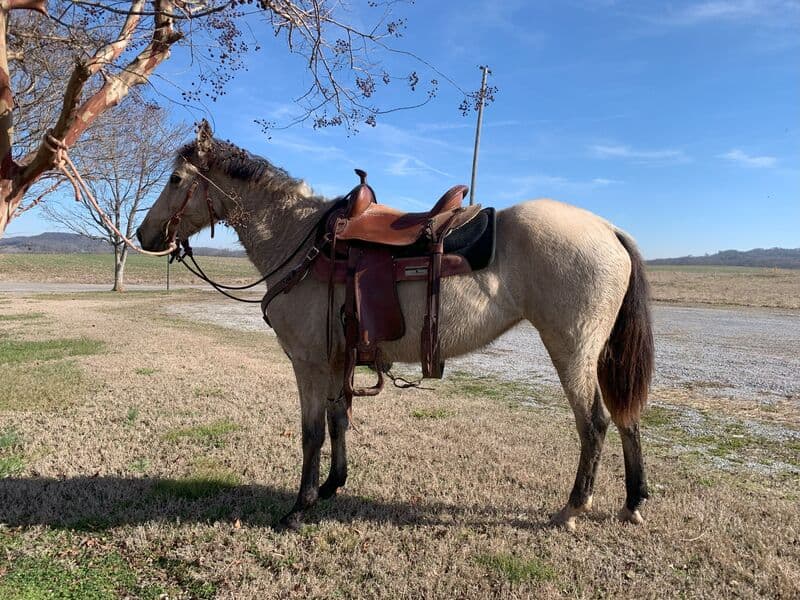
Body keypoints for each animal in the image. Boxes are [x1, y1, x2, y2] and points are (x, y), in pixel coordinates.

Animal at [137, 123, 654, 531]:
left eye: (176, 178)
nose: (145, 236)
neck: (301, 239)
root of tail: (607, 229)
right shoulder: (336, 360)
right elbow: (338, 420)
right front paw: (332, 487)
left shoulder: (307, 362)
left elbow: (311, 432)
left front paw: (299, 509)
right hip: (599, 353)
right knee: (625, 417)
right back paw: (632, 503)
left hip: (572, 348)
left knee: (594, 423)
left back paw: (571, 510)